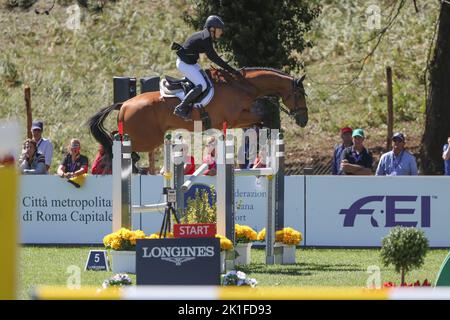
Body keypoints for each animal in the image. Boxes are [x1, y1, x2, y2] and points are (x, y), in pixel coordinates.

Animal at [88, 66, 306, 160]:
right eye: (300, 95)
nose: (304, 120)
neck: (242, 85)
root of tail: (125, 103)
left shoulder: (240, 119)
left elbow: (260, 121)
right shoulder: (235, 118)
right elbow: (263, 117)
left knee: (117, 138)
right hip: (147, 138)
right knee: (118, 139)